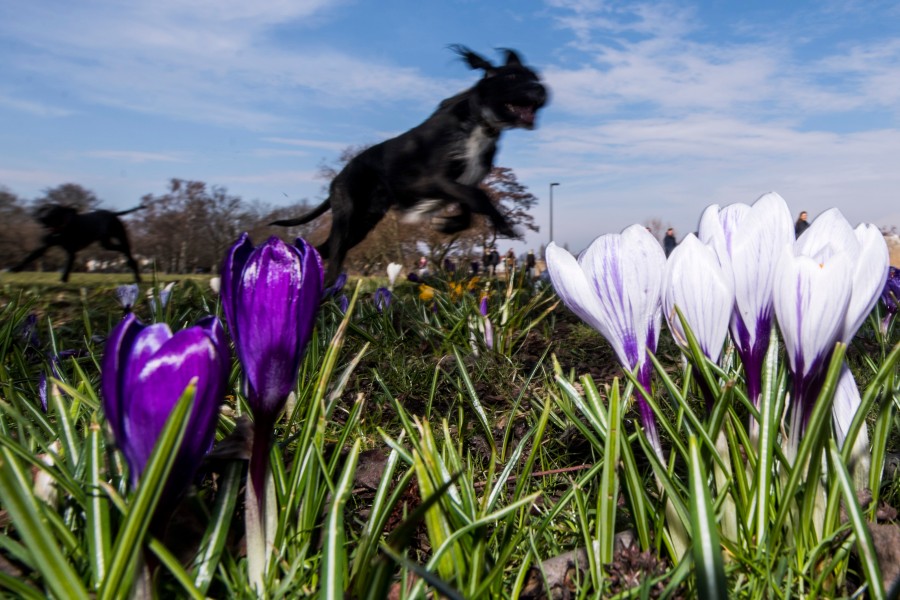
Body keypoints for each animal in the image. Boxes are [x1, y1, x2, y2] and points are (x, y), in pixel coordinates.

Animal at [11, 203, 144, 282]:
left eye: (54, 212)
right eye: (44, 210)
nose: (42, 218)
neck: (60, 230)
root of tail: (113, 213)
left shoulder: (71, 252)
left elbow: (67, 266)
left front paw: (63, 279)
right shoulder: (43, 247)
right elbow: (29, 257)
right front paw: (15, 269)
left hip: (120, 236)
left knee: (127, 251)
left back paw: (136, 273)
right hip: (106, 243)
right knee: (121, 249)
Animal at [268, 45, 548, 282]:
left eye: (535, 75)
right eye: (511, 77)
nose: (542, 90)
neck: (479, 122)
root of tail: (338, 178)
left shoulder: (463, 181)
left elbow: (469, 207)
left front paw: (447, 224)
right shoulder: (428, 181)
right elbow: (478, 197)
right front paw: (503, 223)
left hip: (363, 223)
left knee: (322, 249)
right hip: (347, 219)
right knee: (333, 255)